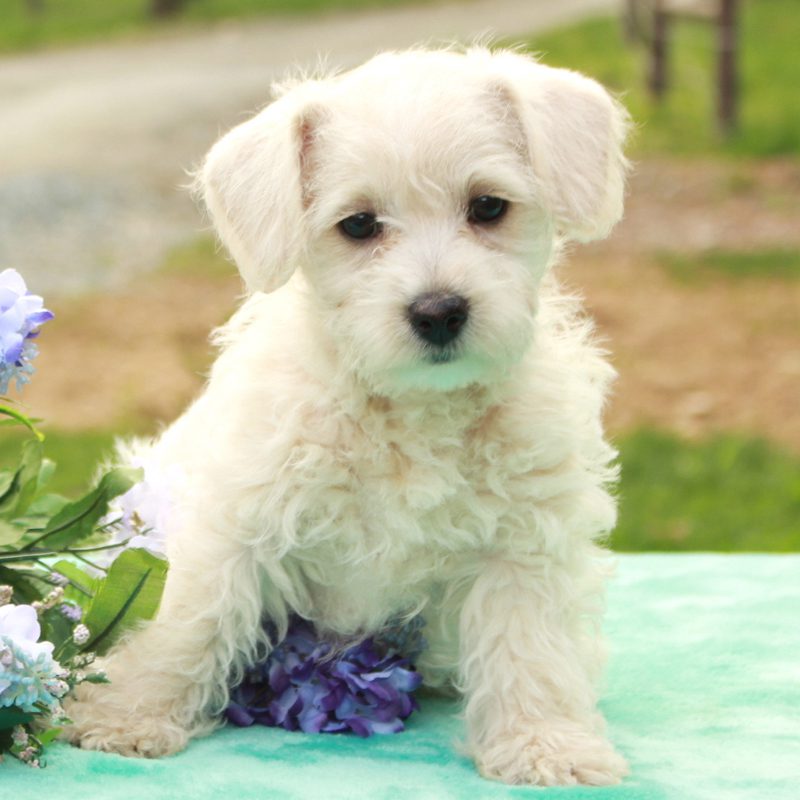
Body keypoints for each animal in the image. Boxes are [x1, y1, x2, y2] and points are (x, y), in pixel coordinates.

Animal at [67, 47, 632, 784]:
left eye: (488, 207)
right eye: (359, 225)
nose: (438, 311)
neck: (409, 407)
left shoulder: (524, 546)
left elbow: (529, 646)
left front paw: (544, 742)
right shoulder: (237, 525)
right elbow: (188, 618)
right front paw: (128, 713)